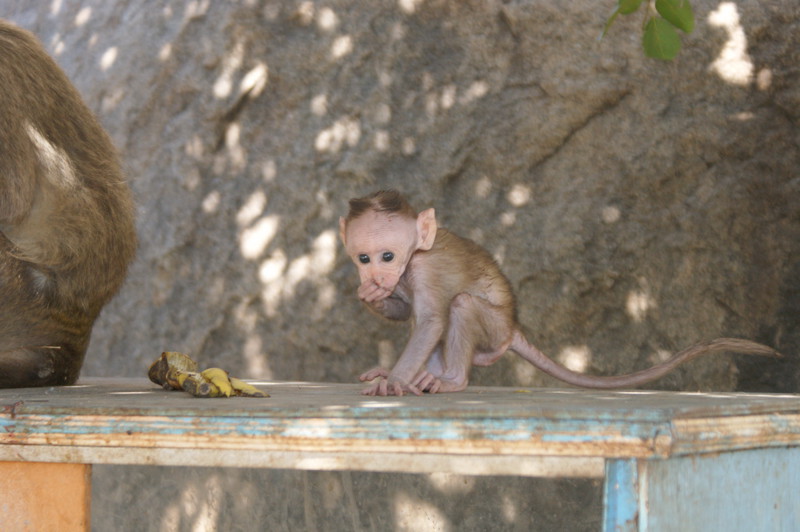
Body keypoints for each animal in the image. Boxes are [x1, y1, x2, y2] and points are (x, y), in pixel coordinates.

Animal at [340, 190, 780, 394]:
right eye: (364, 258)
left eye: (387, 254)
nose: (375, 274)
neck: (410, 260)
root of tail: (514, 328)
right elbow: (407, 313)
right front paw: (375, 300)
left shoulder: (423, 268)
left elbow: (431, 320)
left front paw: (393, 381)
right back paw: (426, 373)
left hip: (495, 330)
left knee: (460, 306)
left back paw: (451, 379)